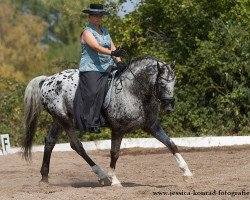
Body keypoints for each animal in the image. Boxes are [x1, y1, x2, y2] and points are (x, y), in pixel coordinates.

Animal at [22, 55, 192, 187]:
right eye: (161, 83)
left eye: (174, 82)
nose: (169, 107)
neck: (133, 91)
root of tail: (48, 80)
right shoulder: (118, 129)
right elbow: (114, 153)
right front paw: (115, 180)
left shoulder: (151, 126)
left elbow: (171, 144)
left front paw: (187, 173)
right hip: (64, 120)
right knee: (77, 145)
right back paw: (102, 176)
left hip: (58, 119)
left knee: (50, 142)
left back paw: (44, 178)